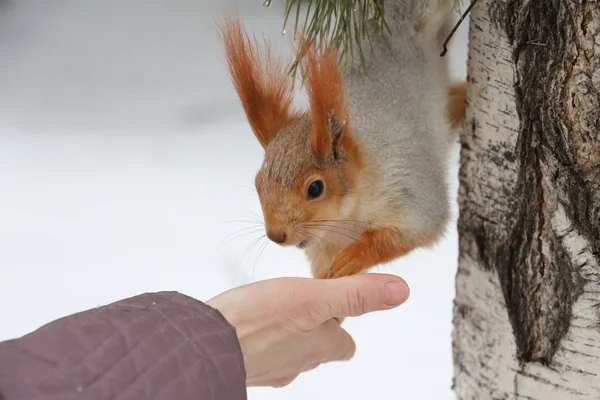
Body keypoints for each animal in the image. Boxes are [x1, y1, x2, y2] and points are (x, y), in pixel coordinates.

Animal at [218, 0, 466, 278]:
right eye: (258, 184)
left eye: (315, 188)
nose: (276, 235)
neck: (346, 218)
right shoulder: (323, 241)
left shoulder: (405, 182)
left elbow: (421, 225)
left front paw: (354, 256)